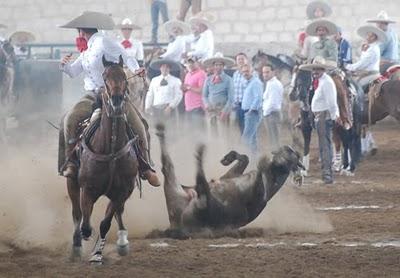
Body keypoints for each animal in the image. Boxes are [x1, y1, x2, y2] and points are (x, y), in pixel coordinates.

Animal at [67, 55, 139, 264]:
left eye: (124, 77)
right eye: (105, 77)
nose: (116, 100)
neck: (110, 150)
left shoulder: (122, 191)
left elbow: (105, 223)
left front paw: (98, 253)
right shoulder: (87, 189)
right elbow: (85, 222)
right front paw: (84, 242)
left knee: (117, 213)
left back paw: (121, 241)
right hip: (72, 182)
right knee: (76, 214)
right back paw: (76, 246)